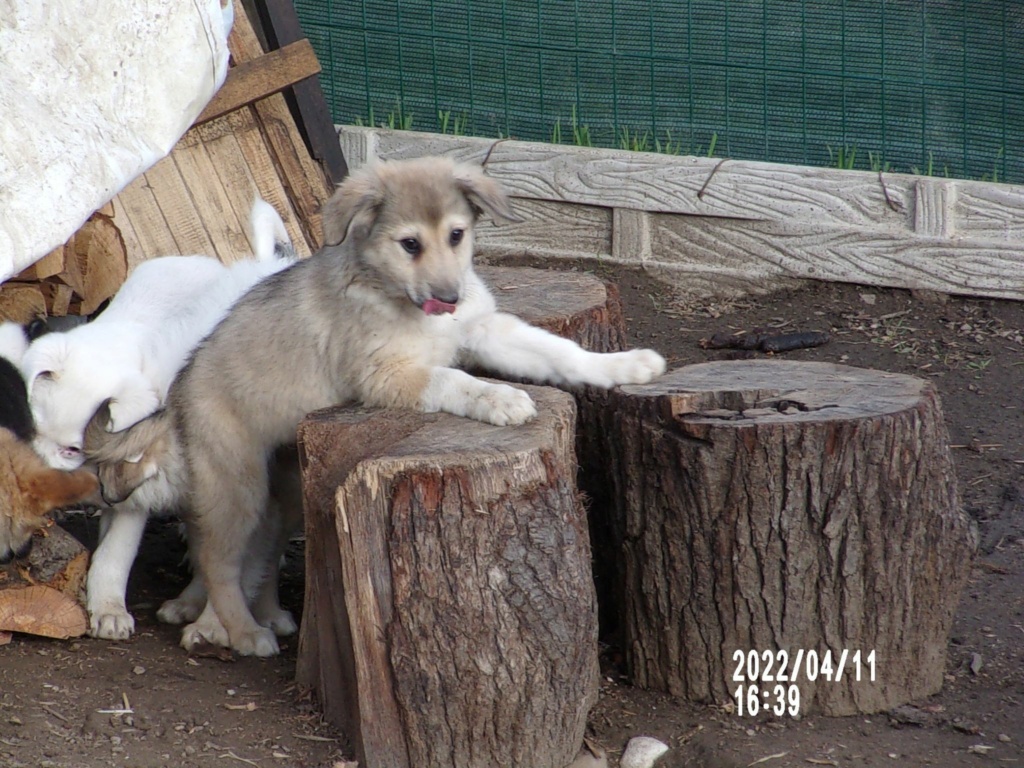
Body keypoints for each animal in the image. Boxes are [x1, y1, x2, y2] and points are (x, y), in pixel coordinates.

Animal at [169, 156, 663, 655]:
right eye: (410, 243)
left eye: (457, 235)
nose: (450, 298)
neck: (395, 295)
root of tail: (180, 384)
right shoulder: (387, 375)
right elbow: (455, 379)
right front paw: (500, 398)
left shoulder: (482, 328)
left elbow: (558, 350)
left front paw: (625, 364)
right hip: (236, 483)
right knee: (218, 560)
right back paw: (242, 631)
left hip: (284, 489)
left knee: (263, 552)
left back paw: (265, 614)